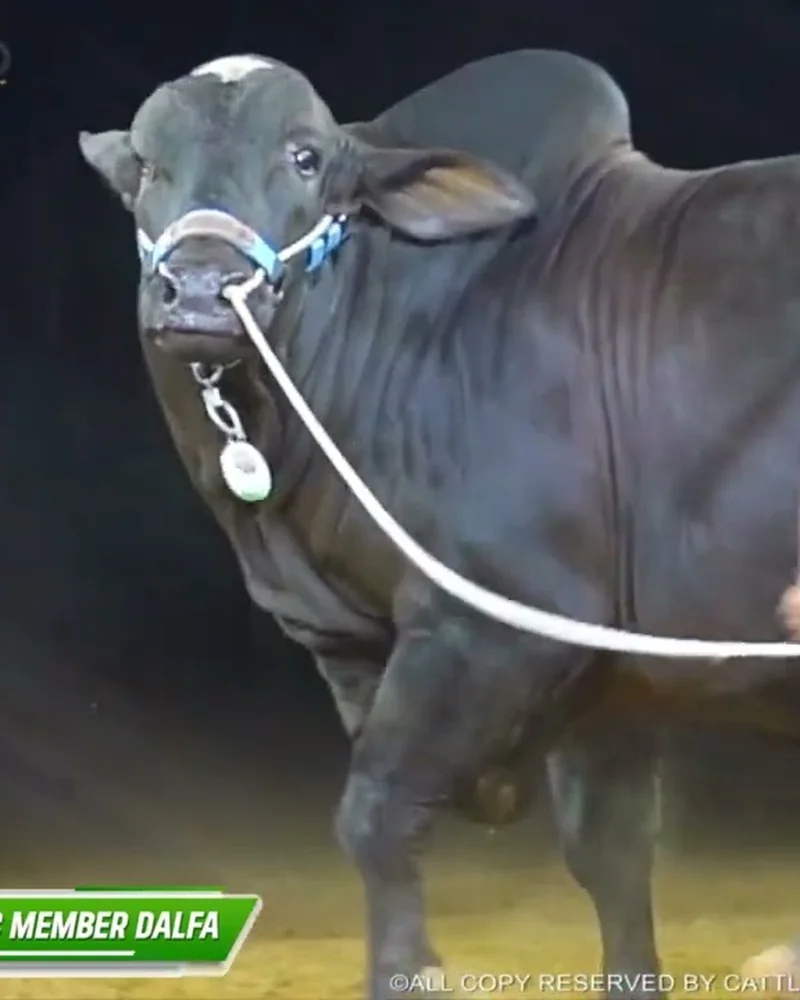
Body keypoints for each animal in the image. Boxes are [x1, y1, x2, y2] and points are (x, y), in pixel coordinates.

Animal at [78, 48, 800, 998]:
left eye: (305, 158)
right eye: (147, 167)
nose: (198, 288)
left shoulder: (495, 627)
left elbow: (377, 815)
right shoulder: (591, 680)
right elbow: (611, 854)